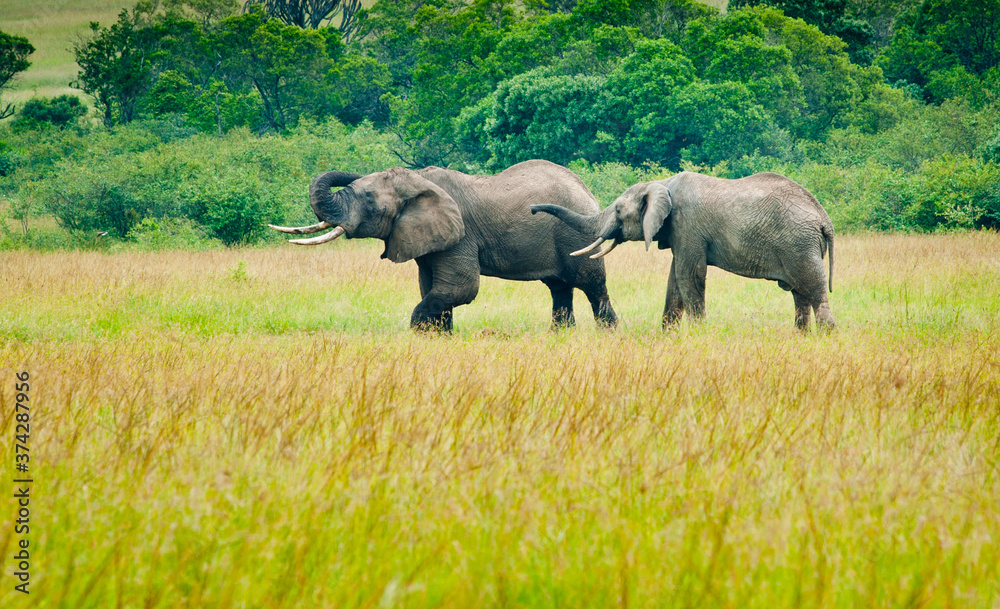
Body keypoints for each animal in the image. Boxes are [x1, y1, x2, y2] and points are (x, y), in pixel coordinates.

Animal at [270, 160, 618, 331]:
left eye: (369, 200)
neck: (418, 181)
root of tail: (585, 188)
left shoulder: (461, 234)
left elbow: (460, 287)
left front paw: (419, 331)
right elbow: (431, 286)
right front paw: (441, 335)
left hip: (577, 236)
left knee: (591, 284)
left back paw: (607, 332)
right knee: (559, 287)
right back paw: (561, 335)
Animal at [530, 171, 835, 331]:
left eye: (618, 211)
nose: (532, 209)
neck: (660, 183)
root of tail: (824, 218)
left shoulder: (688, 226)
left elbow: (689, 275)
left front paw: (699, 333)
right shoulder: (678, 232)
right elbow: (674, 279)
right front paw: (668, 334)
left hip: (799, 243)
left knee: (813, 287)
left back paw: (825, 334)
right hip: (800, 244)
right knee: (799, 292)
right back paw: (800, 335)